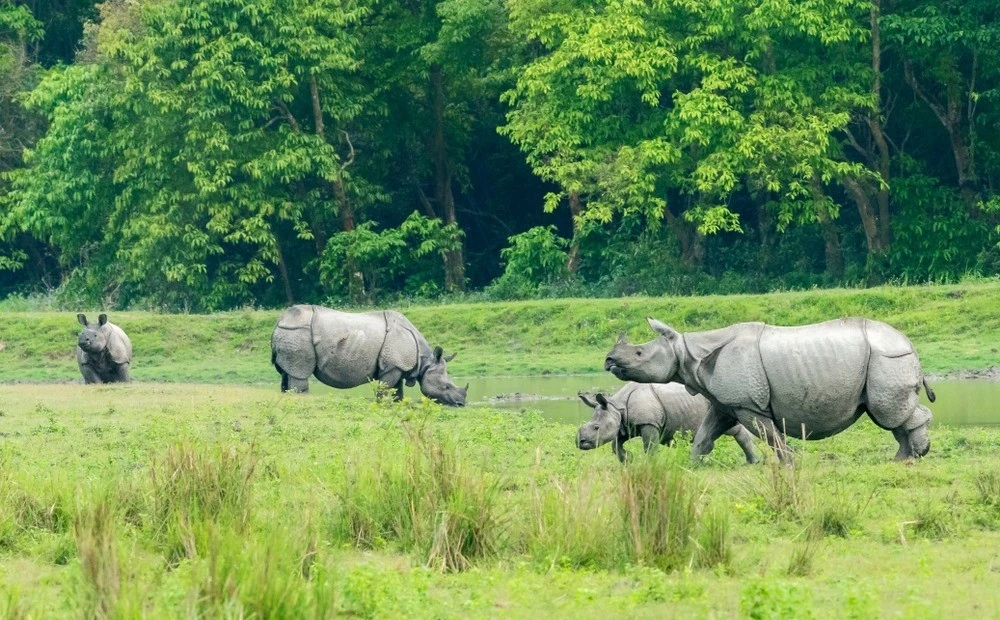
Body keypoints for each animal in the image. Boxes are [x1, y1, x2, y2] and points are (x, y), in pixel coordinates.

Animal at [268, 306, 466, 404]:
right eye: (447, 386)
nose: (461, 404)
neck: (425, 361)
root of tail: (279, 320)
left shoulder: (397, 365)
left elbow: (397, 390)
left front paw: (397, 403)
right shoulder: (393, 366)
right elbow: (385, 388)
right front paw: (382, 404)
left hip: (292, 332)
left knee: (287, 372)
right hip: (298, 332)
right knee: (299, 373)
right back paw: (302, 399)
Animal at [576, 382, 752, 464]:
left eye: (596, 427)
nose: (580, 442)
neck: (617, 406)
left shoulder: (649, 423)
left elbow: (649, 447)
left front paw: (651, 464)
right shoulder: (626, 425)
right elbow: (615, 445)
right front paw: (628, 459)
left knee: (732, 429)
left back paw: (751, 462)